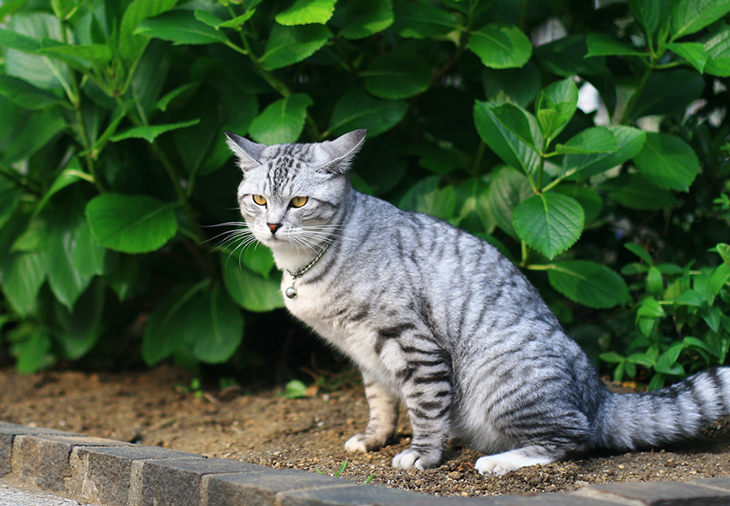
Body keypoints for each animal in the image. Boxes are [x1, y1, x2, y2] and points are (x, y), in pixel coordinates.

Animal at [223, 129, 728, 474]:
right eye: (259, 199)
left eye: (300, 202)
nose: (272, 226)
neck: (307, 266)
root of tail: (602, 395)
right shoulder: (366, 356)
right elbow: (380, 404)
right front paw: (373, 439)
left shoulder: (412, 343)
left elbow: (426, 408)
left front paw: (421, 456)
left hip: (502, 378)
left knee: (573, 438)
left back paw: (500, 461)